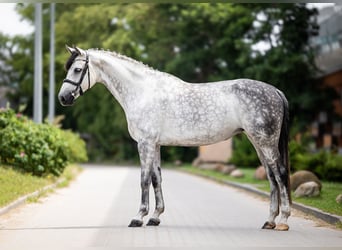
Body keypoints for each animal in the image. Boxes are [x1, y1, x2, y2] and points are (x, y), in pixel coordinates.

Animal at [58, 46, 292, 230]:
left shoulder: (145, 143)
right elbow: (156, 179)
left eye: (77, 69)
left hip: (265, 142)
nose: (63, 98)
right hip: (257, 142)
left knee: (280, 173)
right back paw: (270, 221)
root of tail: (275, 91)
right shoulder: (155, 145)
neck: (142, 92)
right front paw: (155, 217)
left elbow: (144, 179)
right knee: (271, 175)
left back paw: (283, 220)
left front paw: (138, 217)